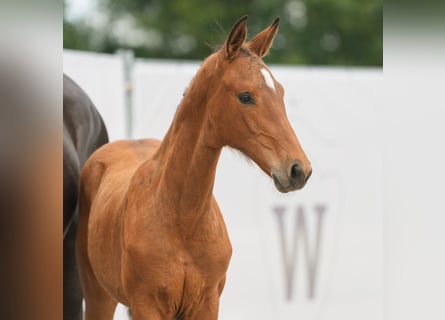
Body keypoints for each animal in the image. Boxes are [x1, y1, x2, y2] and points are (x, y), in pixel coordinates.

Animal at [77, 16, 308, 320]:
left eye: (280, 92)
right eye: (245, 96)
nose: (298, 169)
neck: (183, 220)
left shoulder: (207, 303)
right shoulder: (146, 305)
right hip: (98, 294)